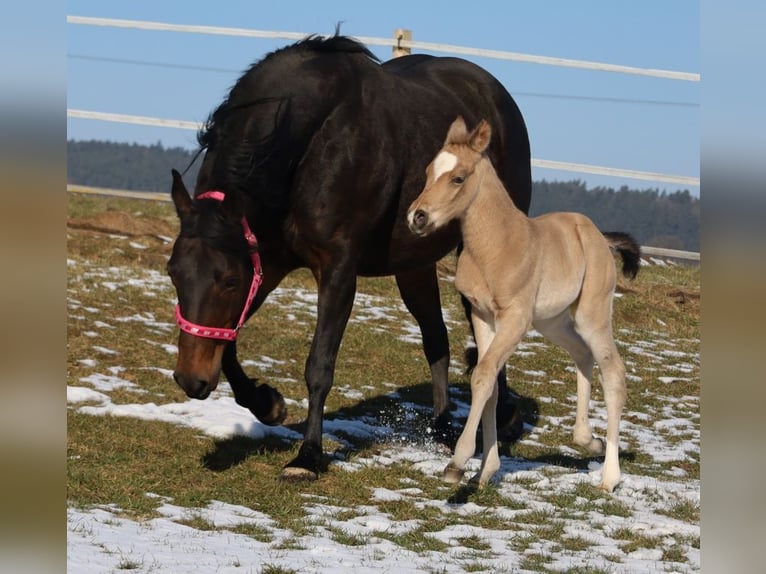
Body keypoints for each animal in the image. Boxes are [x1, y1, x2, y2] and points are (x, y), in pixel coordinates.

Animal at [167, 35, 532, 481]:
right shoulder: (267, 263)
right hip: (414, 265)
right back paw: (444, 427)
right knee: (436, 338)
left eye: (229, 280)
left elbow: (319, 365)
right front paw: (268, 404)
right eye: (173, 273)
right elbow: (229, 342)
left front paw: (307, 456)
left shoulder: (337, 269)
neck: (309, 140)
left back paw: (506, 419)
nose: (191, 379)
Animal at [407, 117, 640, 492]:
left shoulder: (514, 319)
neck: (497, 246)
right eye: (428, 171)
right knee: (582, 355)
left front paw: (457, 464)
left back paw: (609, 475)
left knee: (614, 373)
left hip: (591, 315)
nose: (417, 217)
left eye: (458, 178)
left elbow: (483, 376)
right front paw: (485, 470)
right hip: (553, 322)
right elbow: (488, 384)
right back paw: (588, 440)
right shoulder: (483, 317)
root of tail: (598, 236)